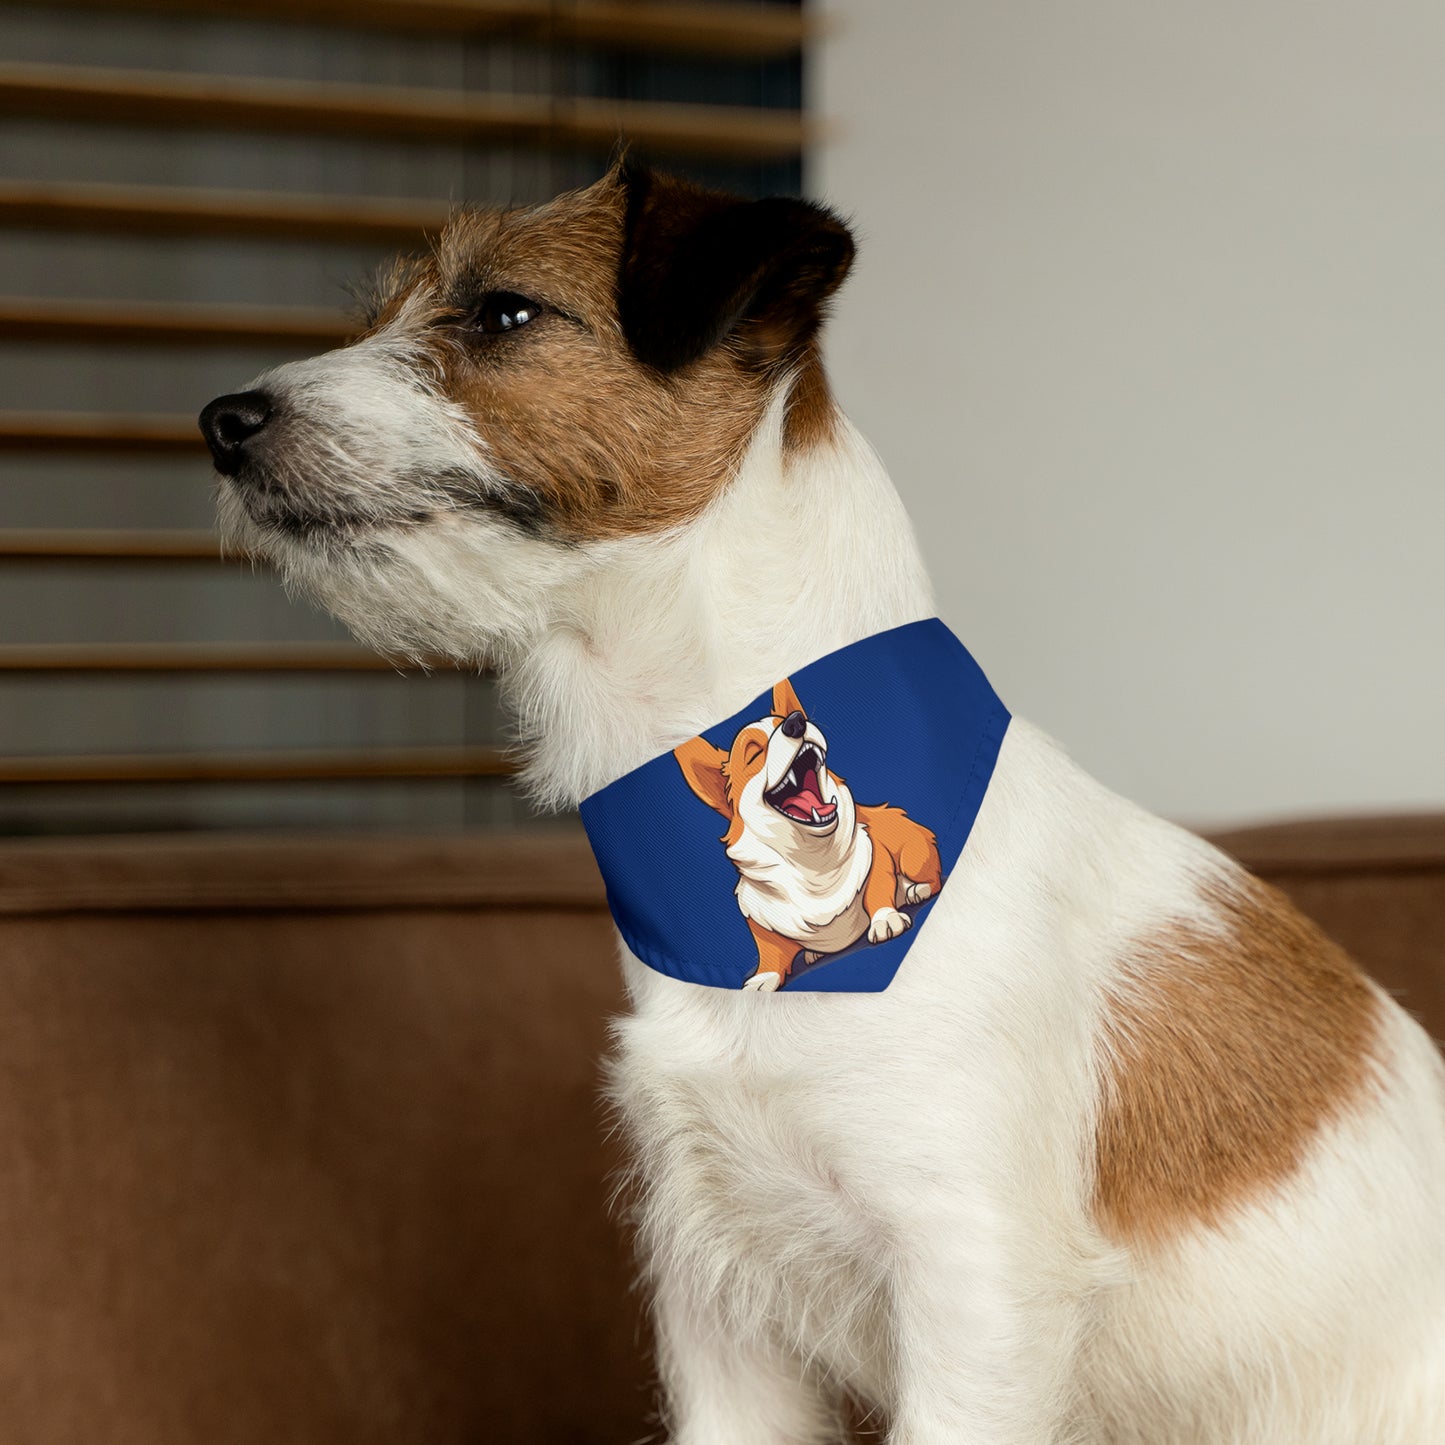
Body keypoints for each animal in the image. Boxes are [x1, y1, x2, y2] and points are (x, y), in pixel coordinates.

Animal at [670, 676, 942, 994]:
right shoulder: (757, 916)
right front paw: (763, 978)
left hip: (913, 853)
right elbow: (768, 951)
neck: (813, 861)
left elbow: (877, 891)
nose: (796, 722)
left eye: (785, 720)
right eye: (753, 753)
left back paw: (916, 889)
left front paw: (885, 919)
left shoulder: (875, 855)